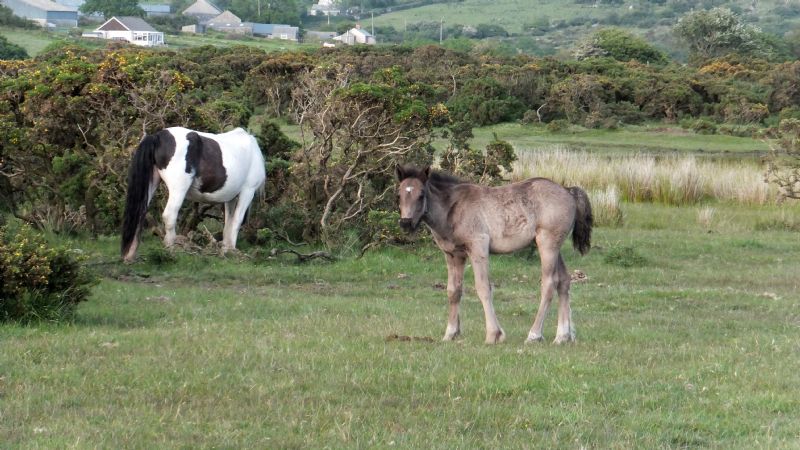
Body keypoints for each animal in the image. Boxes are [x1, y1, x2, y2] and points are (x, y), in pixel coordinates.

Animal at [121, 127, 266, 263]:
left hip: (152, 184)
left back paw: (130, 256)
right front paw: (232, 251)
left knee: (140, 214)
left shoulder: (231, 198)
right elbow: (236, 221)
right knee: (169, 216)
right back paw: (170, 252)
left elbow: (228, 223)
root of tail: (158, 137)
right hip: (178, 189)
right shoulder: (247, 191)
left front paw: (226, 249)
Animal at [396, 165, 593, 344]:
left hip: (547, 244)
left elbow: (483, 288)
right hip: (553, 248)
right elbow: (453, 291)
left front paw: (493, 335)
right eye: (398, 195)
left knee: (549, 283)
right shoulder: (453, 255)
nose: (405, 223)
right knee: (564, 281)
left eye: (421, 195)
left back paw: (534, 335)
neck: (452, 208)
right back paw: (563, 336)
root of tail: (568, 191)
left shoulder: (478, 247)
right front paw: (450, 333)